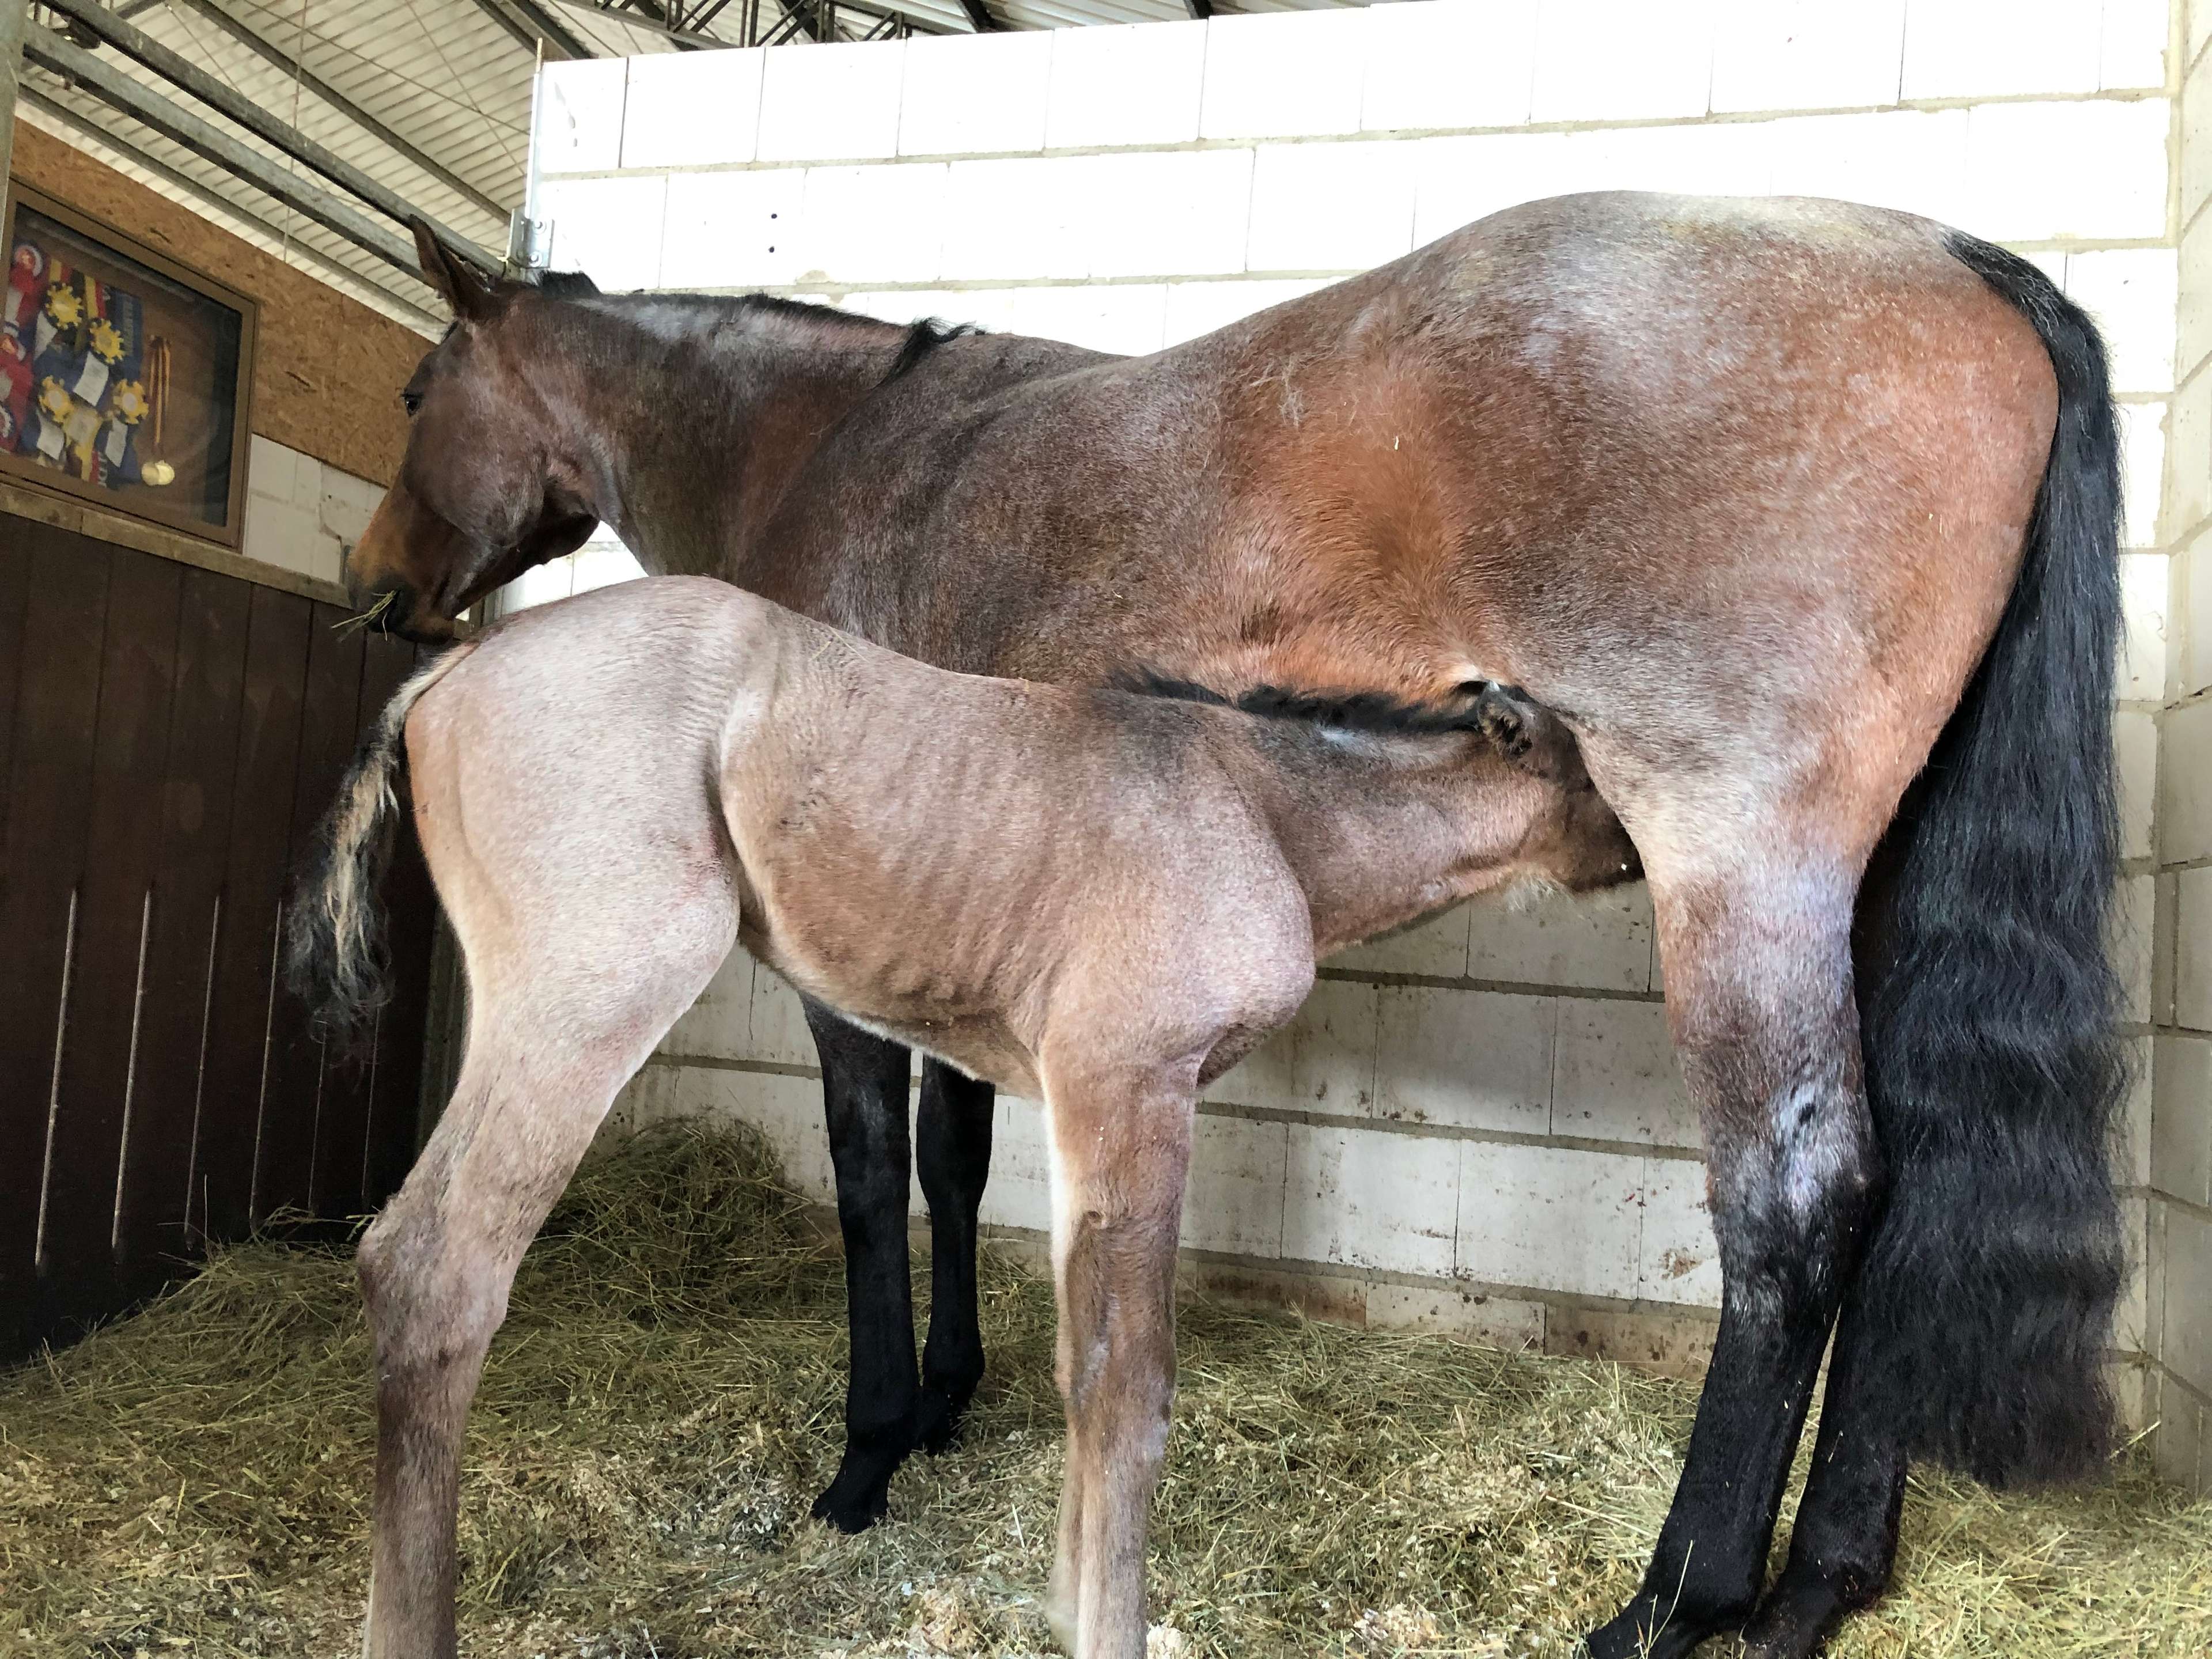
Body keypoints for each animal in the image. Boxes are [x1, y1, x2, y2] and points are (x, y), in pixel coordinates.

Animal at [287, 571, 1634, 1659]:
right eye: (1594, 772)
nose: (1638, 861)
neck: (1266, 815)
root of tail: (454, 667)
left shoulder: (1079, 1104)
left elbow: (1081, 1359)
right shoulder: (1130, 1085)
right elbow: (1127, 1384)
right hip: (595, 994)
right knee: (434, 1271)